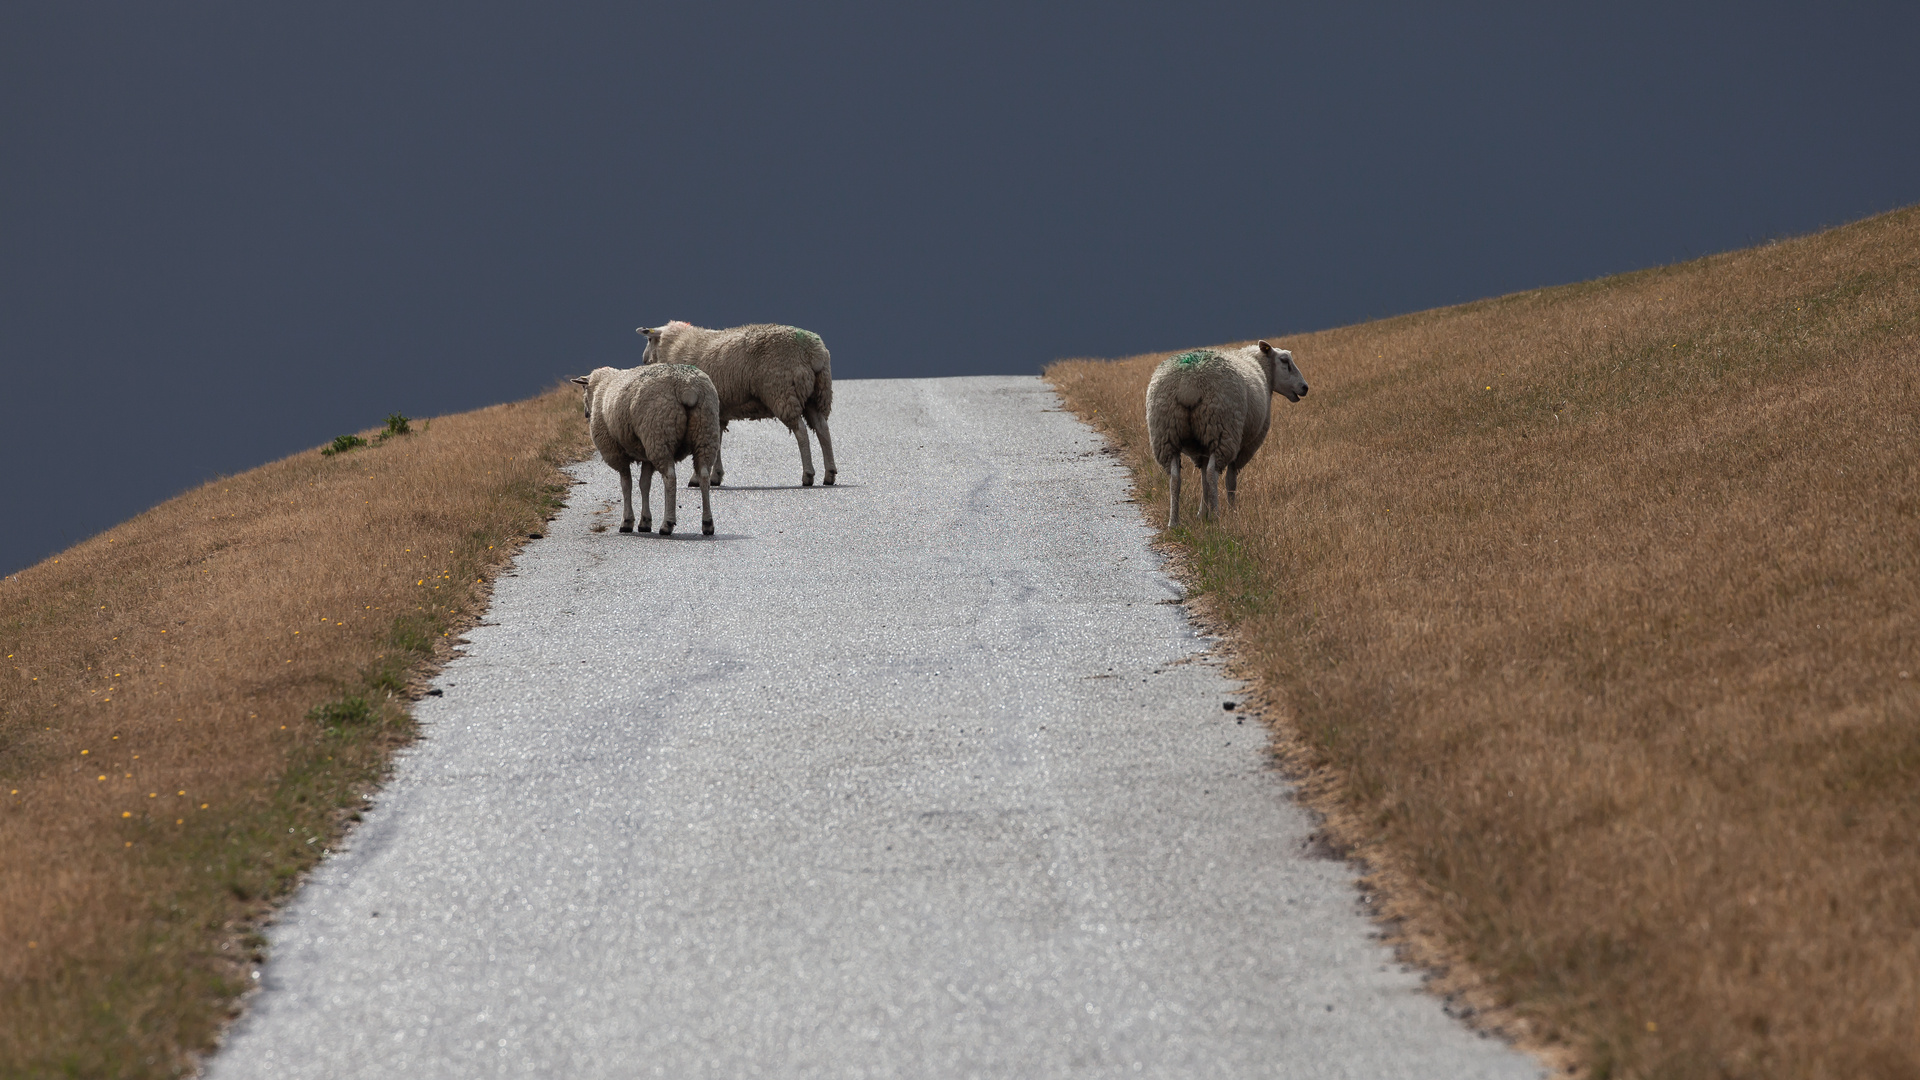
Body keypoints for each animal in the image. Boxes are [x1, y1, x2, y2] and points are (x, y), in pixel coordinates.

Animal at [572, 361, 721, 534]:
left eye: (584, 388)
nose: (586, 414)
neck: (601, 386)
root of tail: (687, 386)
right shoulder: (646, 455)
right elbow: (644, 484)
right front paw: (645, 522)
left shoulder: (617, 453)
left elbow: (626, 484)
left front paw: (627, 521)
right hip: (704, 431)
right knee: (703, 475)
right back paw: (707, 523)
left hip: (659, 433)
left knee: (670, 478)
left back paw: (667, 524)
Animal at [633, 320, 837, 486]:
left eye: (649, 339)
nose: (643, 360)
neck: (675, 345)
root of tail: (813, 352)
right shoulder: (717, 411)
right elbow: (717, 442)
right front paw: (715, 476)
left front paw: (697, 478)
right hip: (818, 394)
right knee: (822, 428)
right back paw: (830, 474)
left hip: (783, 392)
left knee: (801, 431)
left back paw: (808, 475)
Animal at [1136, 338, 1305, 526]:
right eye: (1284, 361)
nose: (1304, 388)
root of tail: (1189, 383)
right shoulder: (1243, 447)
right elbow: (1230, 480)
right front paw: (1230, 512)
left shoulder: (1201, 447)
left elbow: (1203, 480)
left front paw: (1202, 513)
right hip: (1222, 429)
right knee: (1212, 473)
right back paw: (1217, 517)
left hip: (1166, 433)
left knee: (1175, 477)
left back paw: (1174, 522)